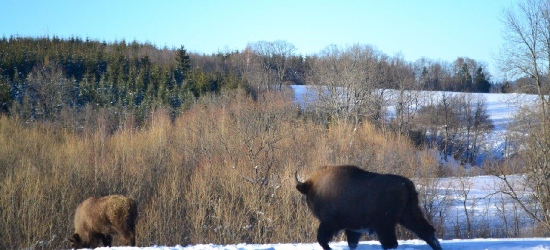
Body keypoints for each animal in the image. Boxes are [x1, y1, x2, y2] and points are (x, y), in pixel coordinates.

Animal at [298, 165, 444, 249]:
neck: (316, 188)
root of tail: (406, 184)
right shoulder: (353, 229)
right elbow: (351, 243)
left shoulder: (329, 223)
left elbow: (322, 239)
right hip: (409, 215)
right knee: (427, 231)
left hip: (386, 224)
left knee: (390, 243)